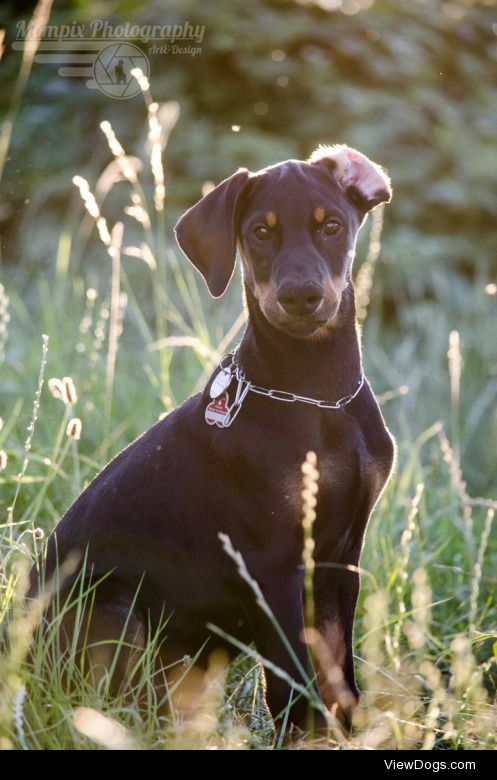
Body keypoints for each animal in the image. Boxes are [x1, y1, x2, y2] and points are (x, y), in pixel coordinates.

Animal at [30, 145, 396, 736]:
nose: (300, 296)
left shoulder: (342, 557)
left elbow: (339, 674)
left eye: (332, 226)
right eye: (260, 233)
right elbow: (294, 684)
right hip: (111, 609)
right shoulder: (274, 564)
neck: (318, 393)